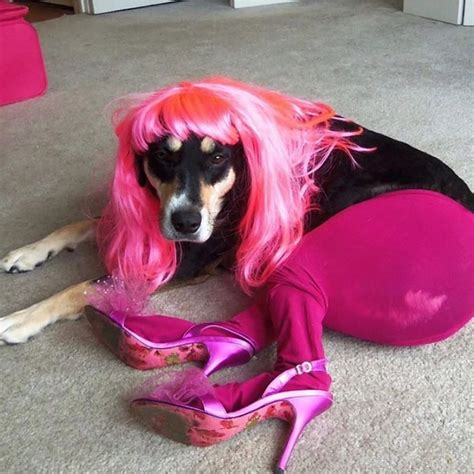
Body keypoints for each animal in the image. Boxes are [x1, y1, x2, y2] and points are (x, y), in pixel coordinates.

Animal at [0, 79, 472, 344]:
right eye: (164, 157)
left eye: (217, 158)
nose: (186, 222)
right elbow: (79, 223)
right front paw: (28, 253)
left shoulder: (183, 261)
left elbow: (79, 287)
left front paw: (21, 318)